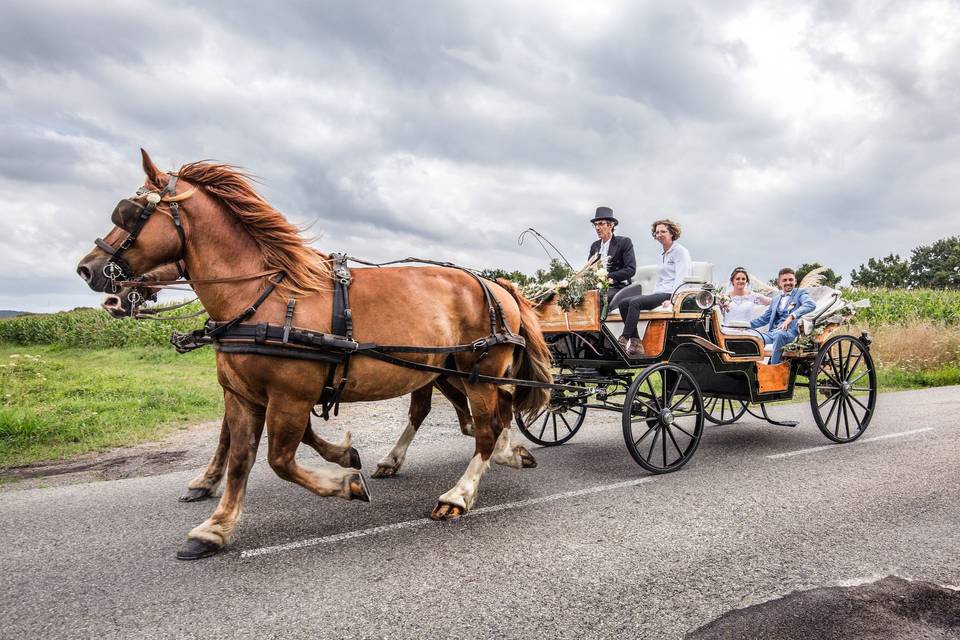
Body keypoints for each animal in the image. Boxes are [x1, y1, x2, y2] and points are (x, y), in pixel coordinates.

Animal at [79, 150, 552, 560]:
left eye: (128, 213)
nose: (88, 269)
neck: (262, 297)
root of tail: (495, 284)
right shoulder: (243, 395)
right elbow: (240, 458)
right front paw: (215, 525)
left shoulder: (290, 396)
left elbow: (279, 460)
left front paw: (346, 481)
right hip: (447, 369)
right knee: (485, 414)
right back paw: (500, 454)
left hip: (479, 372)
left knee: (487, 425)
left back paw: (459, 493)